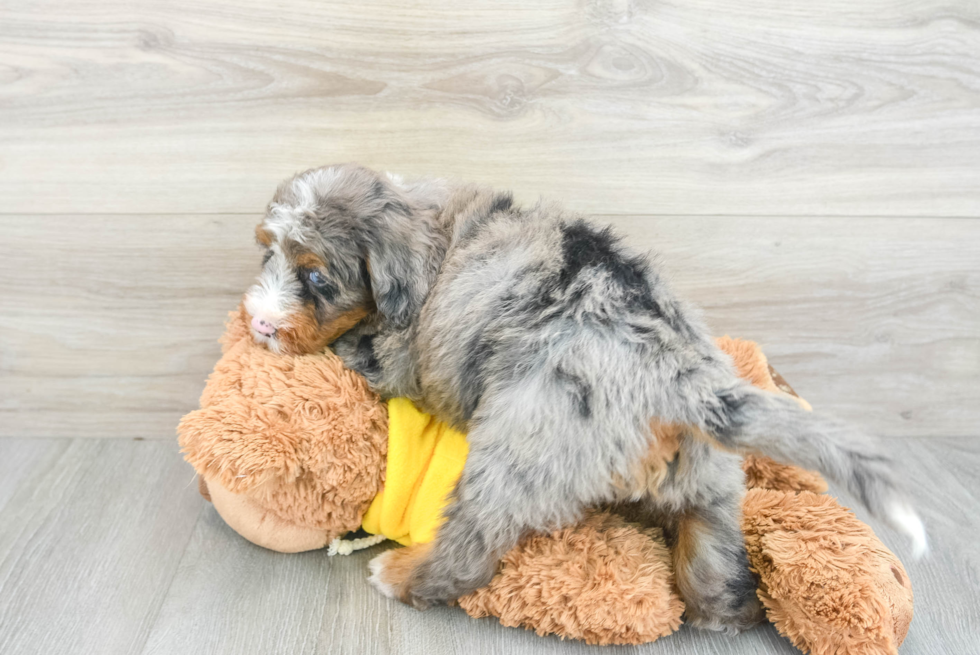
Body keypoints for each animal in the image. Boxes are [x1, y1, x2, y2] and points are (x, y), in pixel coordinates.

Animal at [245, 164, 928, 636]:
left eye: (315, 276)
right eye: (267, 252)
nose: (258, 323)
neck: (421, 224)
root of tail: (679, 376)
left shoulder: (397, 353)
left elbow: (353, 349)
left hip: (515, 454)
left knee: (471, 549)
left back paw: (403, 576)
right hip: (708, 476)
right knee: (712, 552)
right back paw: (725, 611)